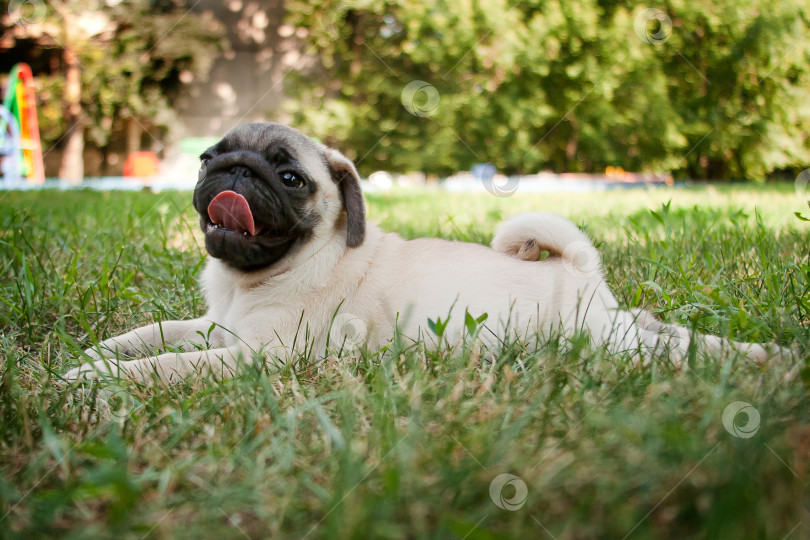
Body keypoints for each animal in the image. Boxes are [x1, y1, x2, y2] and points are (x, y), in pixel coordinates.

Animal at [66, 122, 784, 384]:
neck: (250, 281)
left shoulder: (256, 353)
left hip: (602, 341)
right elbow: (157, 332)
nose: (233, 172)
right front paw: (100, 353)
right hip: (617, 326)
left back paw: (752, 360)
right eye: (210, 157)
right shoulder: (217, 325)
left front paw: (98, 381)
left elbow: (167, 366)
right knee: (663, 330)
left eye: (289, 177)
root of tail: (575, 265)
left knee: (672, 349)